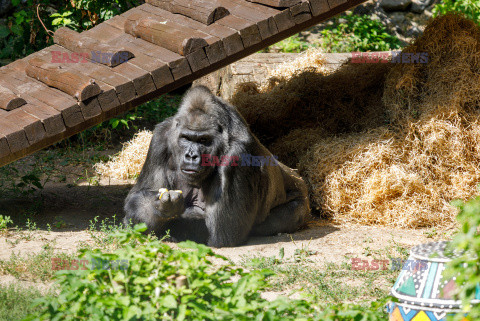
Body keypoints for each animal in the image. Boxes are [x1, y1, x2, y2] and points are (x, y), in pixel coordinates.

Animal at [124, 86, 310, 246]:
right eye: (186, 138)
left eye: (203, 140)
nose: (191, 156)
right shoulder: (160, 137)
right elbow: (137, 197)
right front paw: (161, 209)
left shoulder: (237, 155)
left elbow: (222, 235)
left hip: (301, 203)